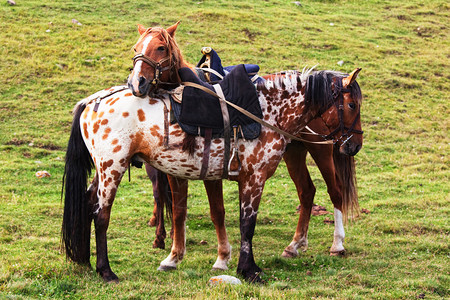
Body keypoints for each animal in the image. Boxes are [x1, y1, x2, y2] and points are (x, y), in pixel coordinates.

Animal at [60, 22, 362, 282]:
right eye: (352, 106)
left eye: (160, 48)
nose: (354, 145)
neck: (265, 109)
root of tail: (92, 100)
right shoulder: (253, 177)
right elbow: (246, 222)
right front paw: (248, 269)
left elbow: (204, 214)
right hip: (111, 168)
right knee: (100, 213)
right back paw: (106, 270)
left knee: (320, 191)